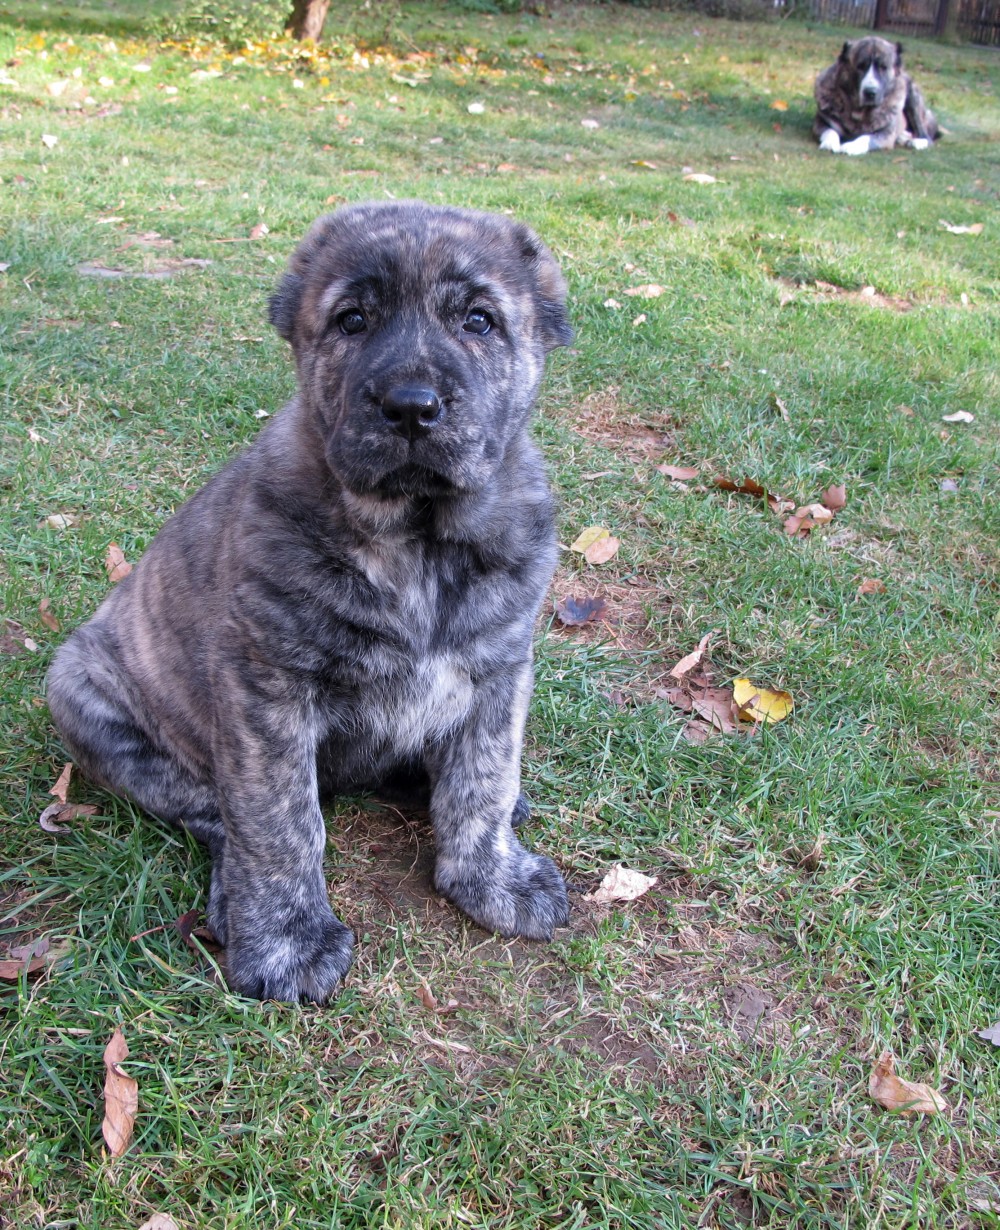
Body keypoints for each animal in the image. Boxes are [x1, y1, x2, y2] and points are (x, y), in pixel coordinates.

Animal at [46, 200, 574, 1004]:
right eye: (351, 320)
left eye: (479, 321)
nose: (411, 407)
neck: (415, 543)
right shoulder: (267, 688)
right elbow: (280, 822)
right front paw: (287, 941)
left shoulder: (500, 667)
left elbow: (484, 778)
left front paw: (492, 877)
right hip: (79, 690)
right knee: (215, 813)